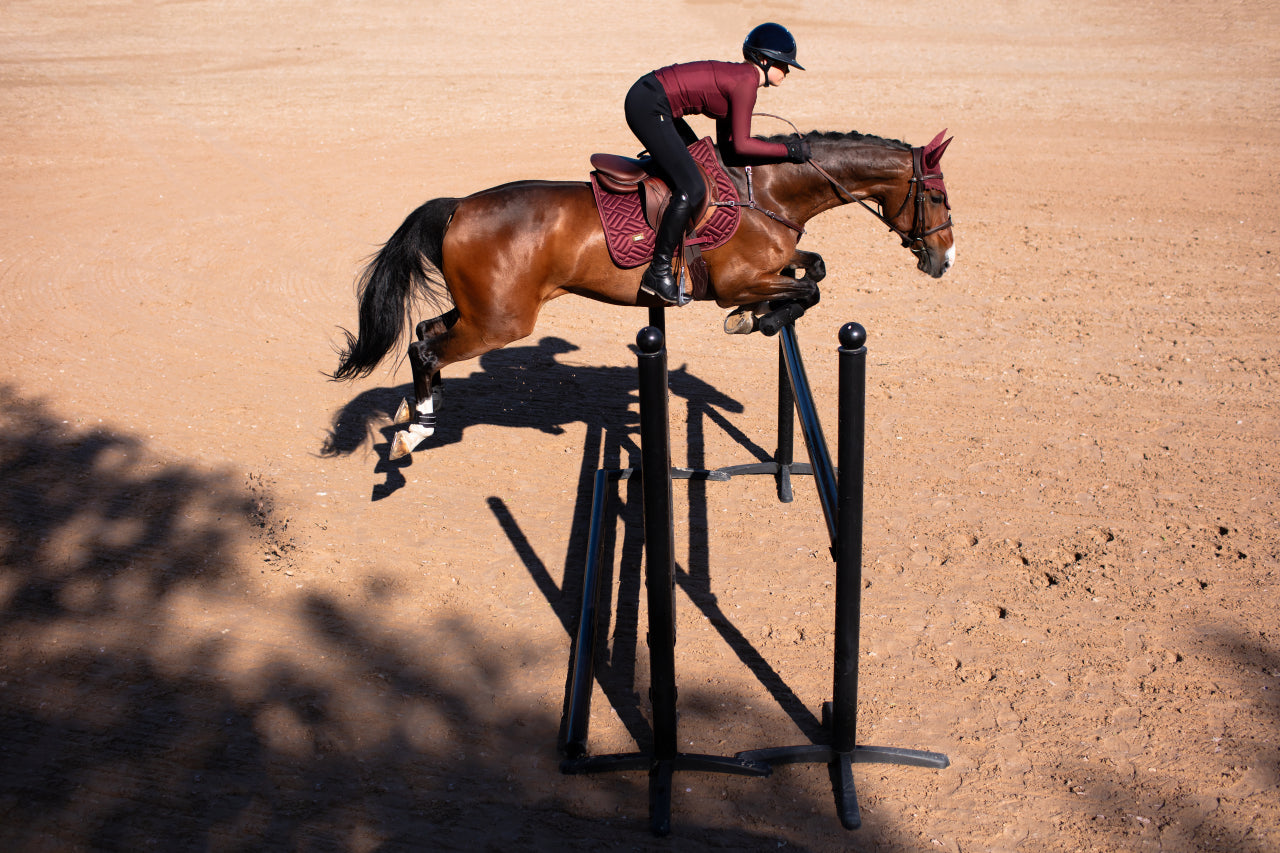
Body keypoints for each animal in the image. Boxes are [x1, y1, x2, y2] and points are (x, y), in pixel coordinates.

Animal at [330, 128, 952, 458]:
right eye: (939, 198)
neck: (767, 191)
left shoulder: (775, 264)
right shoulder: (732, 283)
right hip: (500, 322)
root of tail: (458, 206)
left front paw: (765, 314)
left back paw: (417, 415)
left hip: (482, 311)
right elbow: (808, 292)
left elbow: (814, 271)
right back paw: (415, 430)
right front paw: (757, 318)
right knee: (426, 347)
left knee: (425, 332)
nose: (943, 261)